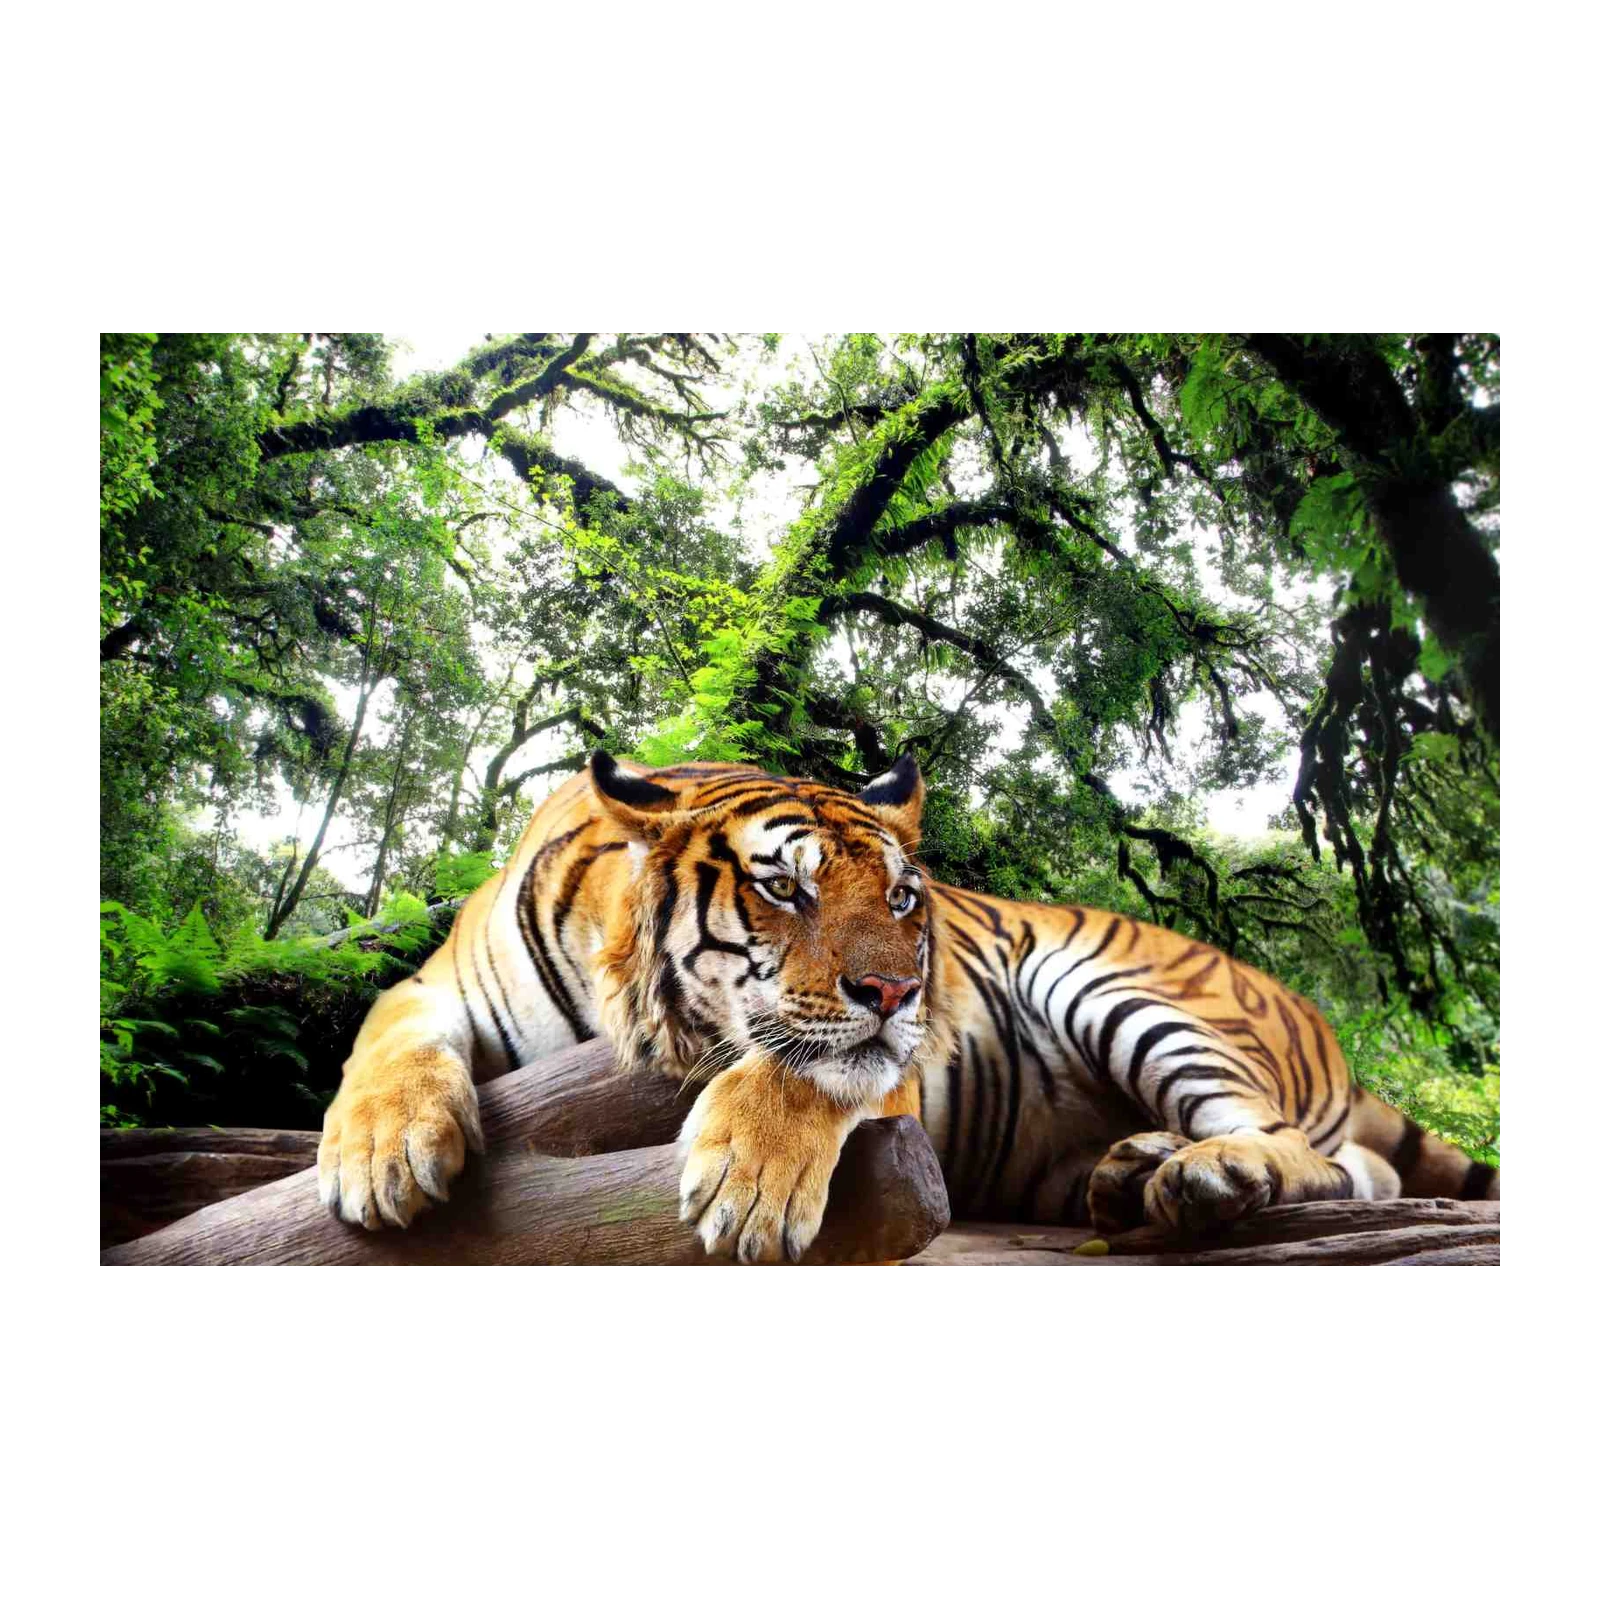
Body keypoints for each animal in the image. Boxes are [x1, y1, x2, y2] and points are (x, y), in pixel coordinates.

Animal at [317, 752, 1502, 1261]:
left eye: (898, 896)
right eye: (784, 887)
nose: (896, 990)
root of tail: (1318, 1015)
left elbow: (806, 1069)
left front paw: (748, 1188)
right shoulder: (433, 985)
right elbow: (384, 1040)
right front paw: (381, 1156)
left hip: (1118, 987)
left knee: (1322, 1156)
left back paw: (1207, 1175)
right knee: (1358, 1166)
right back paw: (1132, 1172)